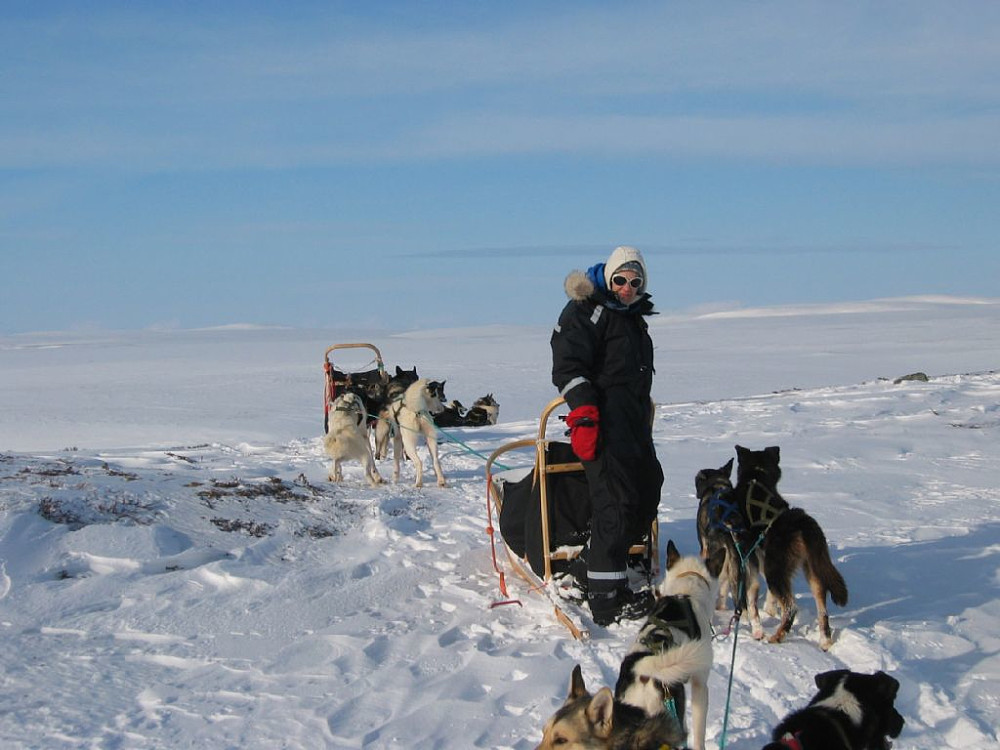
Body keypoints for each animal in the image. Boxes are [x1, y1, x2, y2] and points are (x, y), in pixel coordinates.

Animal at [736, 446, 844, 652]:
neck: (757, 478)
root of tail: (801, 522)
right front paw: (769, 610)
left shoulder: (748, 556)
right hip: (812, 571)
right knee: (822, 606)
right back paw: (825, 640)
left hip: (776, 572)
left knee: (791, 607)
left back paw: (777, 636)